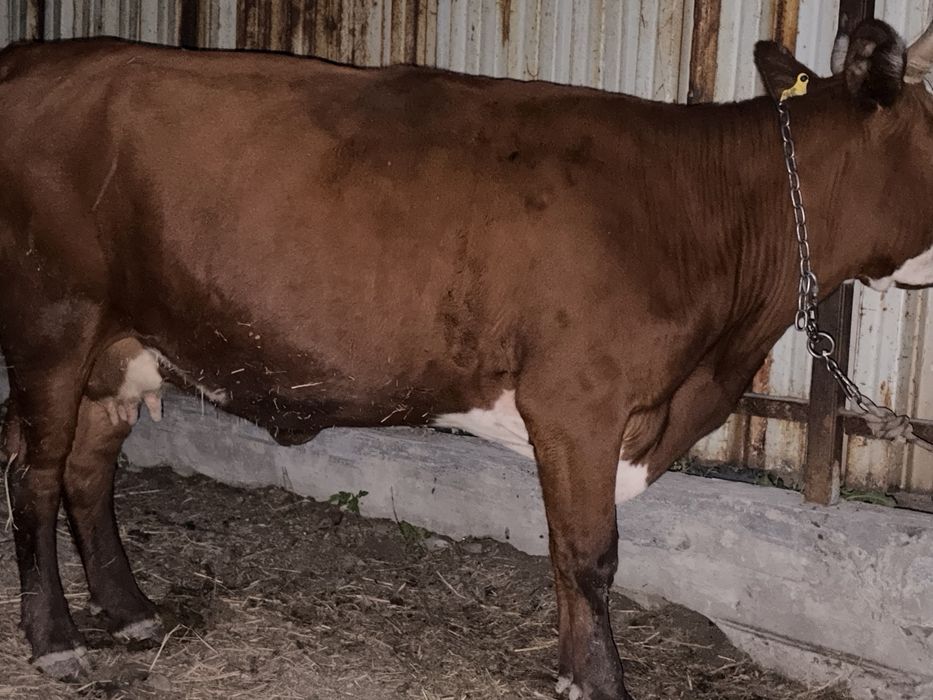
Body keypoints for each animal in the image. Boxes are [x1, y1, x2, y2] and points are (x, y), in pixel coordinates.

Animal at [0, 15, 931, 699]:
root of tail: (35, 57)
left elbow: (565, 555)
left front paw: (572, 676)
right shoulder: (577, 402)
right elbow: (590, 555)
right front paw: (602, 684)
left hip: (119, 345)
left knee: (88, 467)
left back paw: (130, 612)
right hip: (53, 322)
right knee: (36, 472)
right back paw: (56, 642)